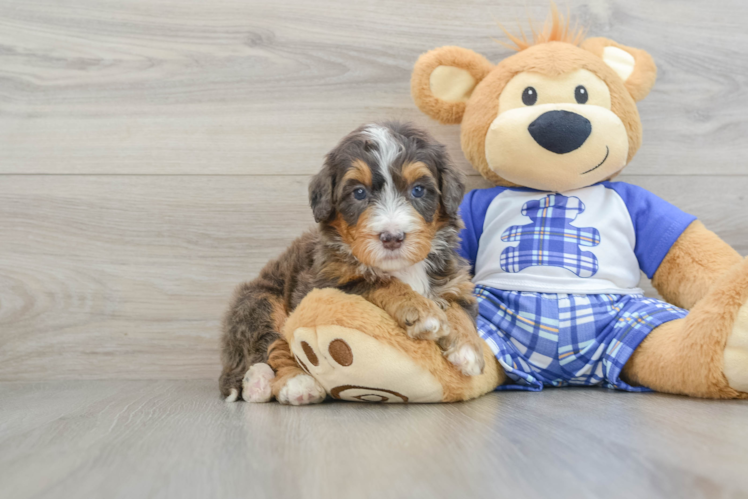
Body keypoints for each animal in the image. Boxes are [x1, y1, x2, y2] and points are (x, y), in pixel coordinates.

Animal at [218, 122, 486, 406]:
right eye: (359, 193)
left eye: (418, 190)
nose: (392, 237)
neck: (404, 267)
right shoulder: (324, 283)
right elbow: (380, 283)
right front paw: (423, 312)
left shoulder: (455, 280)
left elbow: (459, 310)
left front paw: (469, 350)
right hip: (262, 301)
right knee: (274, 344)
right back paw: (287, 383)